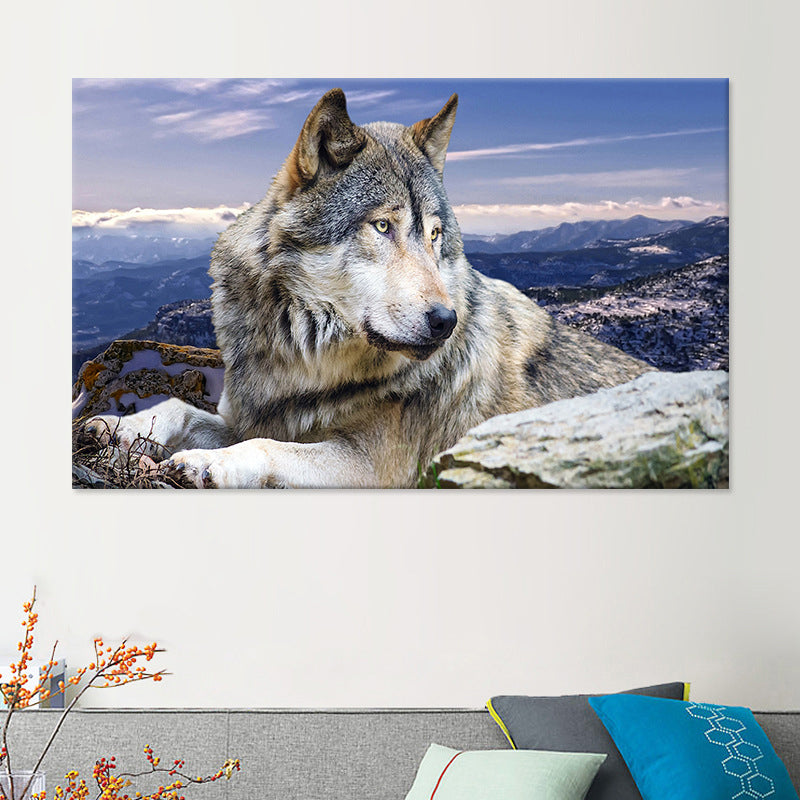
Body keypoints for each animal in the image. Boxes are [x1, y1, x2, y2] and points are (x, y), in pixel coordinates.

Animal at [84, 88, 653, 488]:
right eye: (383, 226)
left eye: (435, 235)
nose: (446, 322)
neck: (304, 362)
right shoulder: (255, 415)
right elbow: (179, 409)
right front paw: (113, 425)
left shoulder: (373, 467)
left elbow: (266, 448)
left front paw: (206, 465)